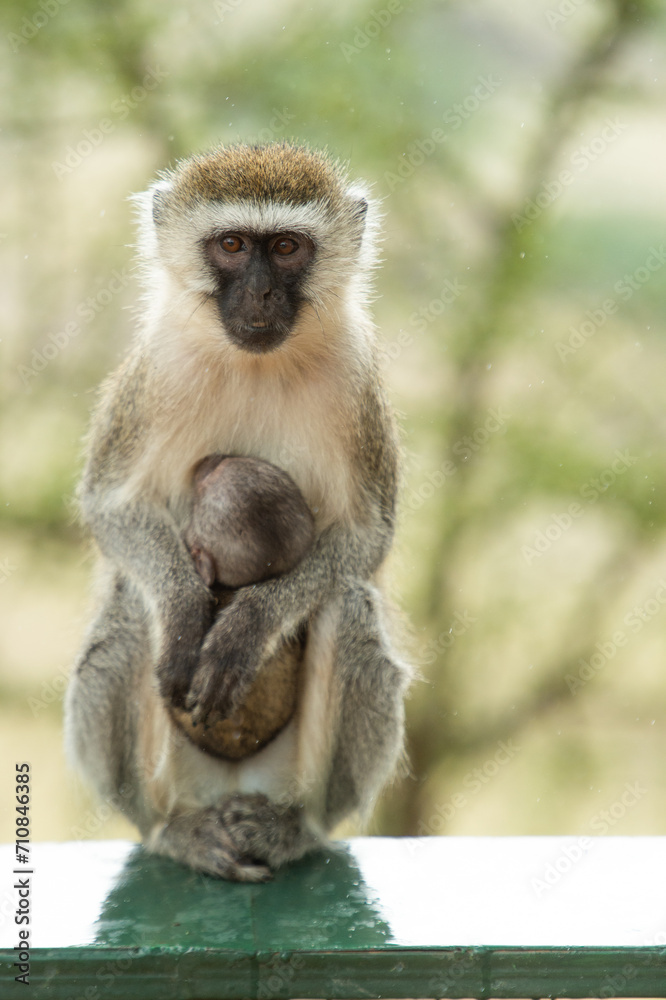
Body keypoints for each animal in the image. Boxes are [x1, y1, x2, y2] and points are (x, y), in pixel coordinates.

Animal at [65, 141, 412, 883]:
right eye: (230, 245)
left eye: (285, 248)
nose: (259, 294)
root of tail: (226, 788)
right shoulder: (153, 372)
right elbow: (108, 507)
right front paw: (185, 611)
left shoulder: (356, 382)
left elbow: (367, 537)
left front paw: (247, 625)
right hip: (174, 776)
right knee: (130, 609)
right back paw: (172, 831)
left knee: (349, 605)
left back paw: (295, 829)